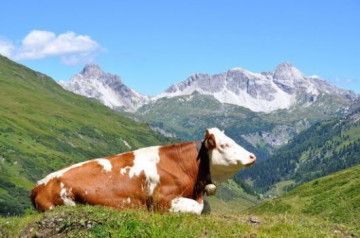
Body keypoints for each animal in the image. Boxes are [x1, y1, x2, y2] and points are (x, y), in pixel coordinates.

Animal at [31, 129, 256, 215]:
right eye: (225, 145)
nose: (252, 156)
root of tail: (39, 184)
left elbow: (205, 206)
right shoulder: (161, 200)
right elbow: (197, 207)